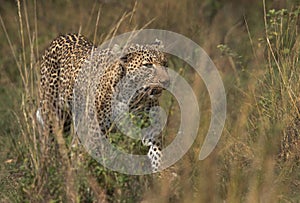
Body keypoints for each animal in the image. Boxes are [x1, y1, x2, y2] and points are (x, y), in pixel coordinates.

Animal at [36, 32, 170, 172]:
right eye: (147, 65)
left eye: (165, 64)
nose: (166, 81)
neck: (132, 97)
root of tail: (62, 36)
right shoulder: (95, 133)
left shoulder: (151, 129)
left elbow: (156, 155)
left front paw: (159, 174)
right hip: (52, 112)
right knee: (49, 141)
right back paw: (48, 166)